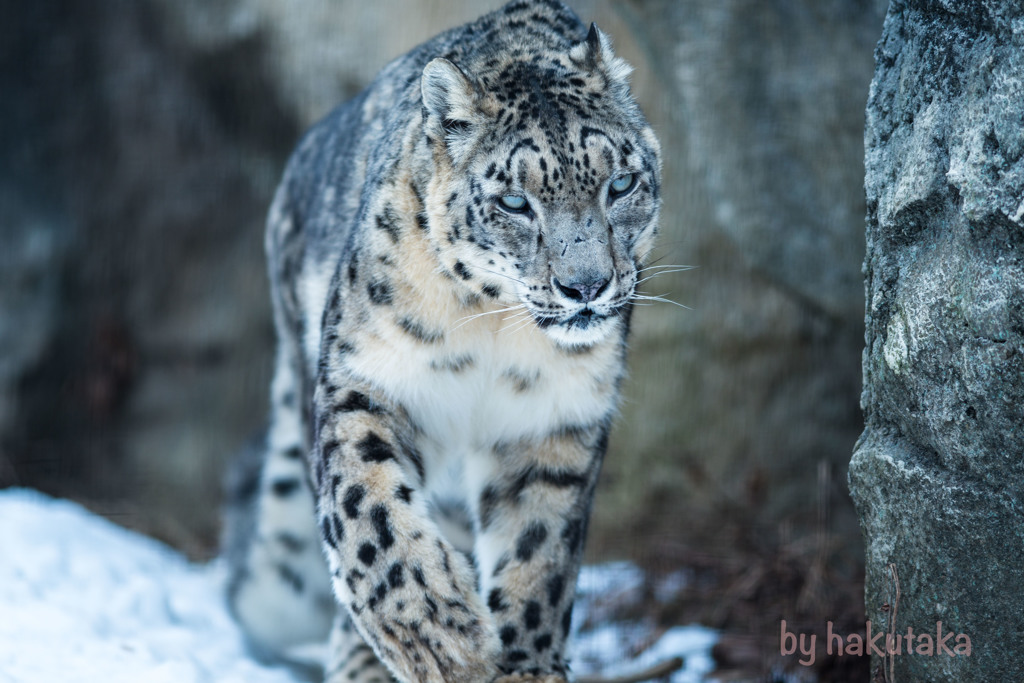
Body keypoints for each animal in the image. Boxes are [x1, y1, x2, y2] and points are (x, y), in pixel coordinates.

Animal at [220, 2, 659, 679]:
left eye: (620, 185)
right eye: (515, 201)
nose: (586, 286)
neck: (497, 329)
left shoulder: (553, 419)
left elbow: (539, 553)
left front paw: (523, 665)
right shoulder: (368, 380)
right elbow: (369, 511)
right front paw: (441, 641)